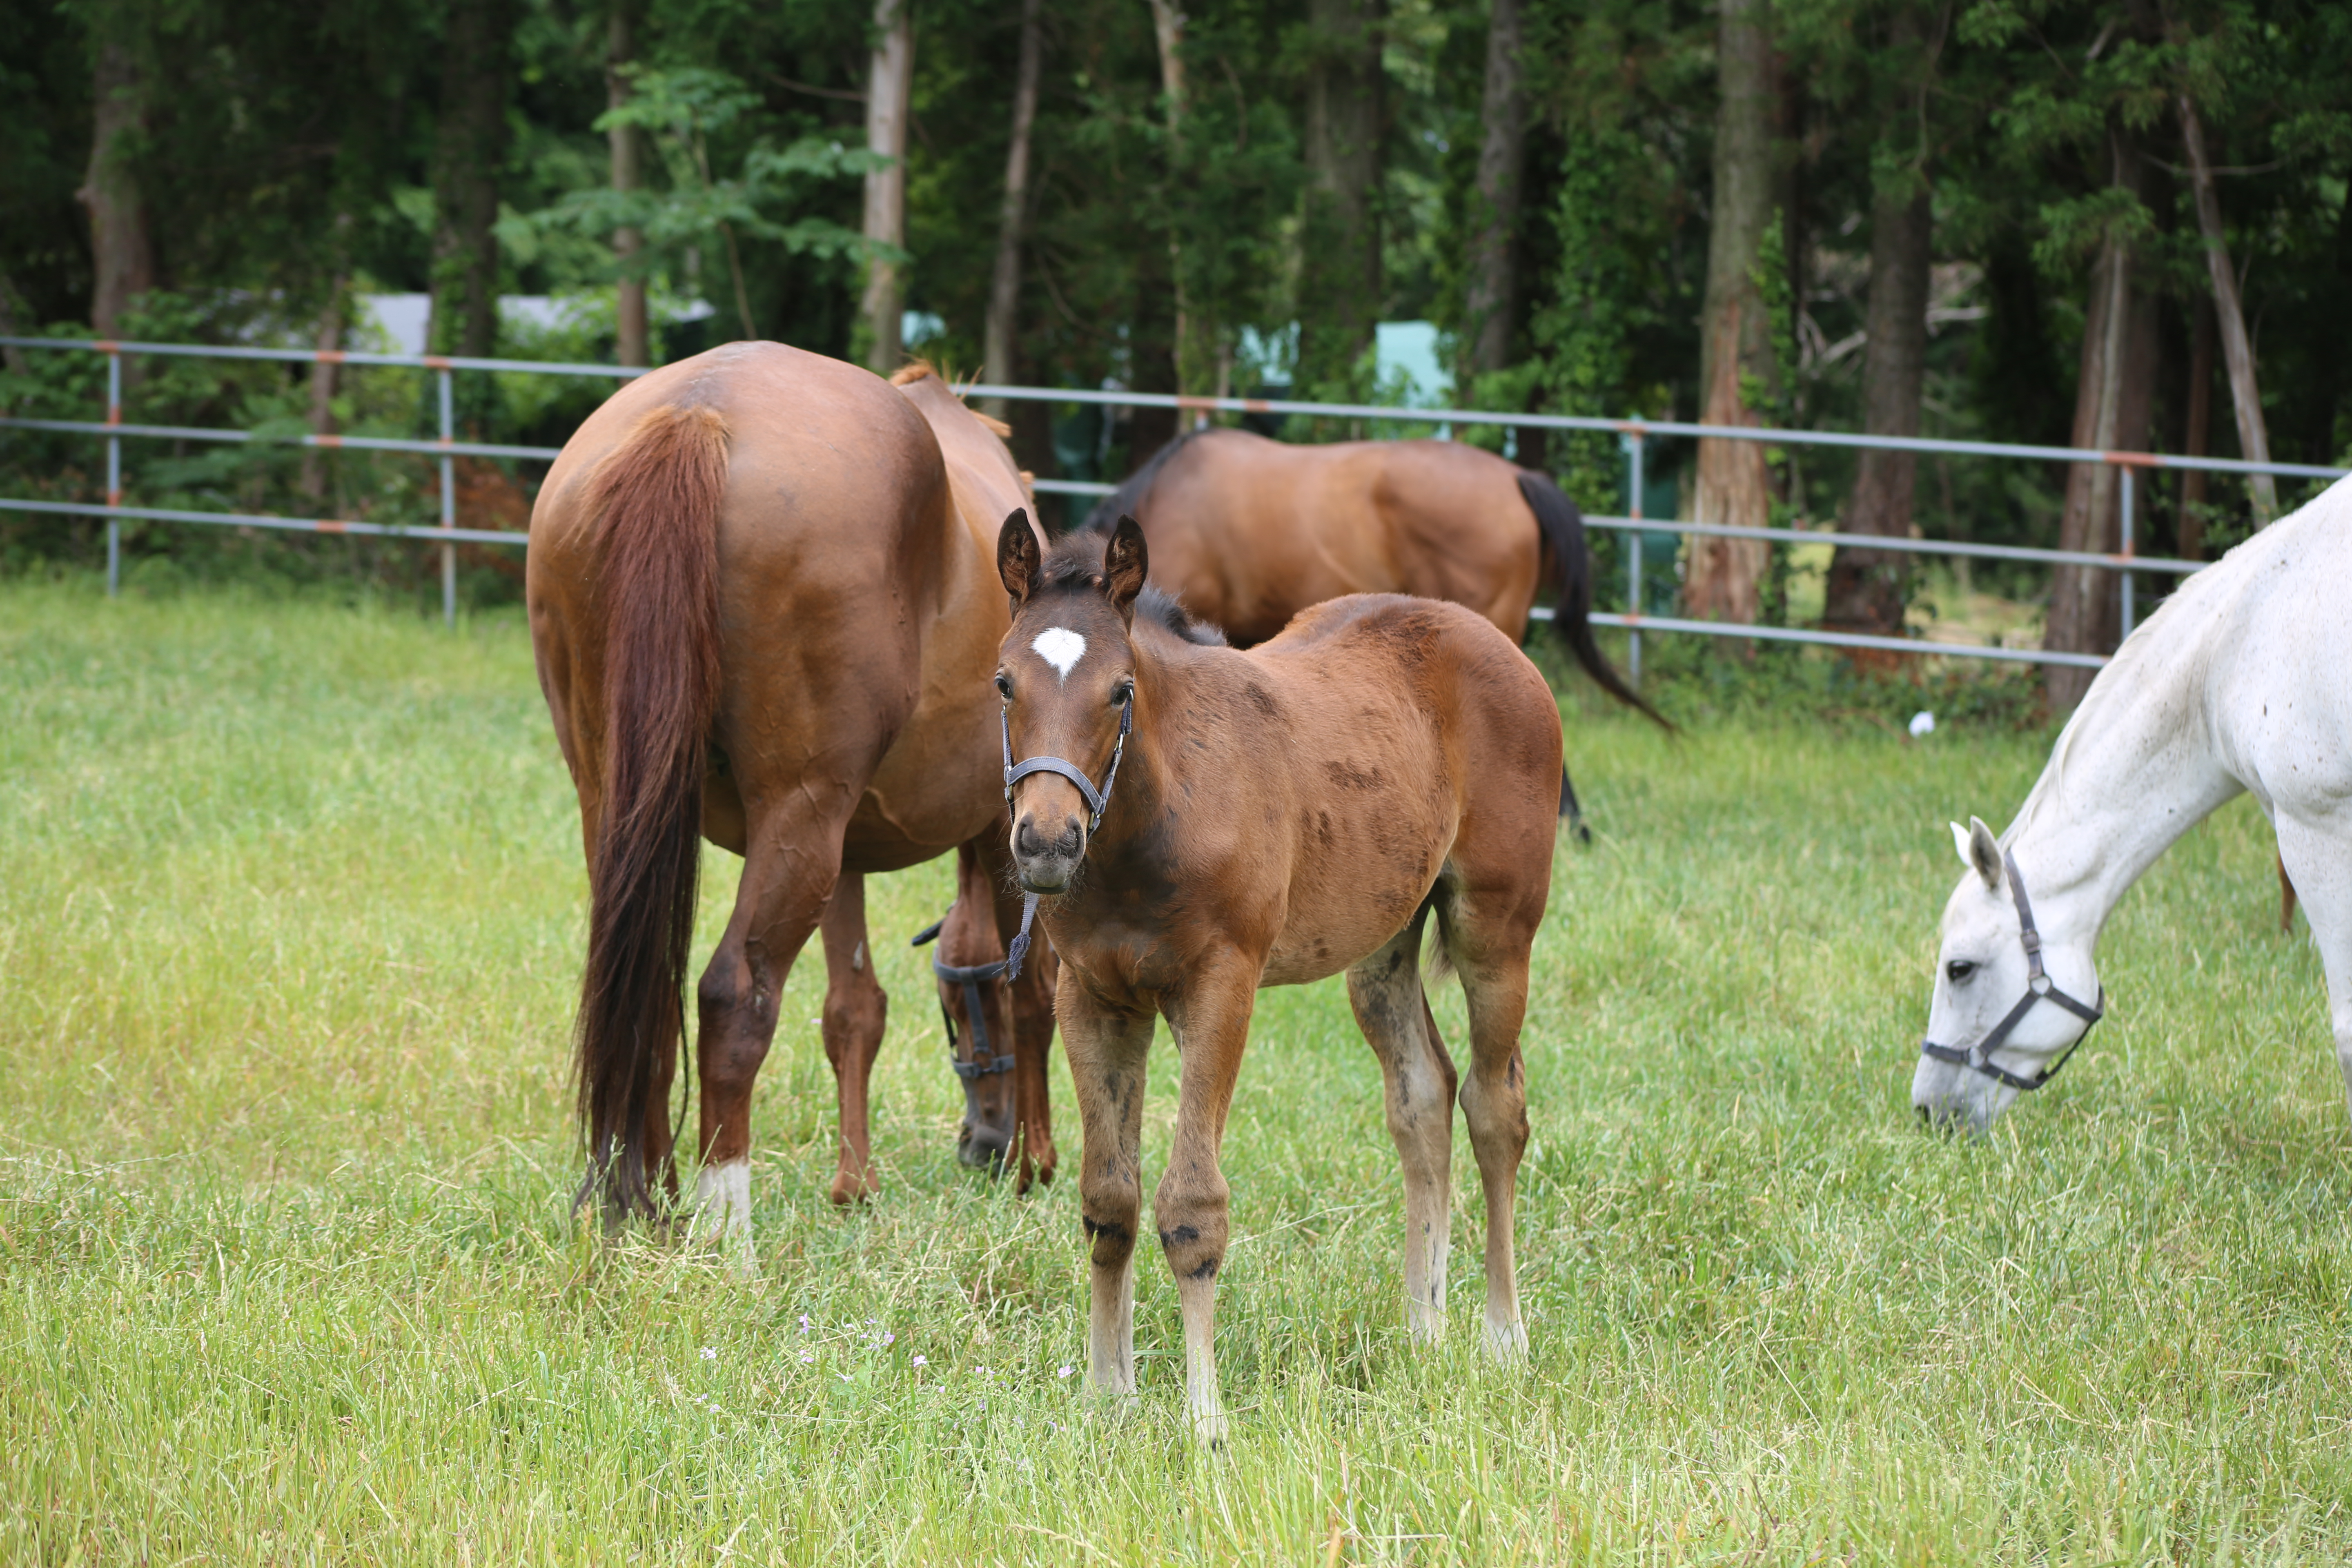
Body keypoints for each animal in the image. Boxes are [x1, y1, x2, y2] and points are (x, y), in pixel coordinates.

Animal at [529, 343, 1063, 1222]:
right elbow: (1033, 989)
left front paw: (855, 1183)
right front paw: (1037, 1167)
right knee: (729, 997)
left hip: (627, 812)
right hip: (797, 824)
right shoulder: (997, 833)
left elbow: (854, 1011)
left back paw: (641, 1201)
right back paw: (722, 1225)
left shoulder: (845, 851)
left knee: (642, 992)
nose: (982, 1146)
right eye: (958, 1008)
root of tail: (700, 411)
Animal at [992, 517, 1561, 1448]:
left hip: (1496, 930)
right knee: (1422, 1096)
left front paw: (1205, 1418)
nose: (1046, 841)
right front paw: (1108, 1400)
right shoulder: (1093, 997)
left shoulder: (1221, 987)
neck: (1156, 813)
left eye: (1120, 691)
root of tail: (1493, 641)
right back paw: (1424, 1323)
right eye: (1004, 681)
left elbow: (1192, 1207)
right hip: (1382, 945)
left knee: (1495, 1107)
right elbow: (1109, 1198)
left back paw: (1502, 1335)